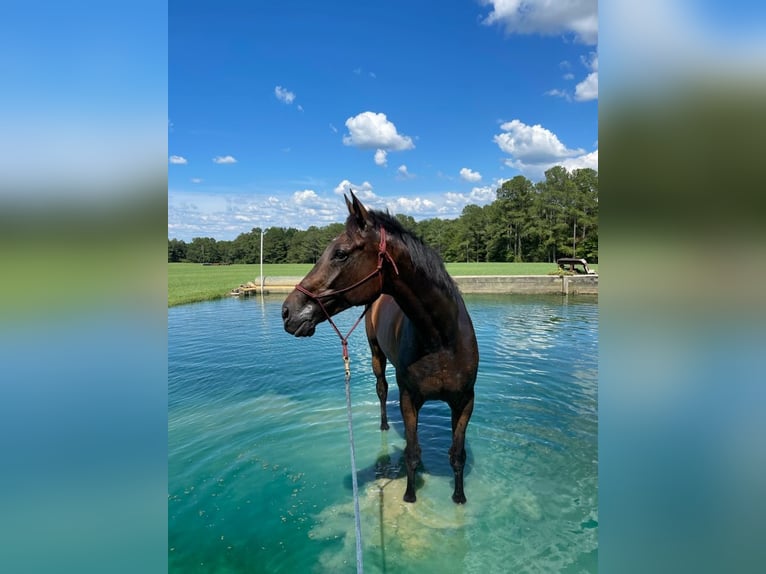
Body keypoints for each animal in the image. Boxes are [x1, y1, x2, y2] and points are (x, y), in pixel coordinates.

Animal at [282, 192, 480, 504]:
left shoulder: (464, 402)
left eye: (341, 253)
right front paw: (410, 495)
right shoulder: (410, 399)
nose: (288, 312)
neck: (441, 340)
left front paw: (459, 496)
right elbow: (411, 452)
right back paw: (385, 424)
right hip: (376, 356)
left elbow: (456, 454)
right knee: (382, 390)